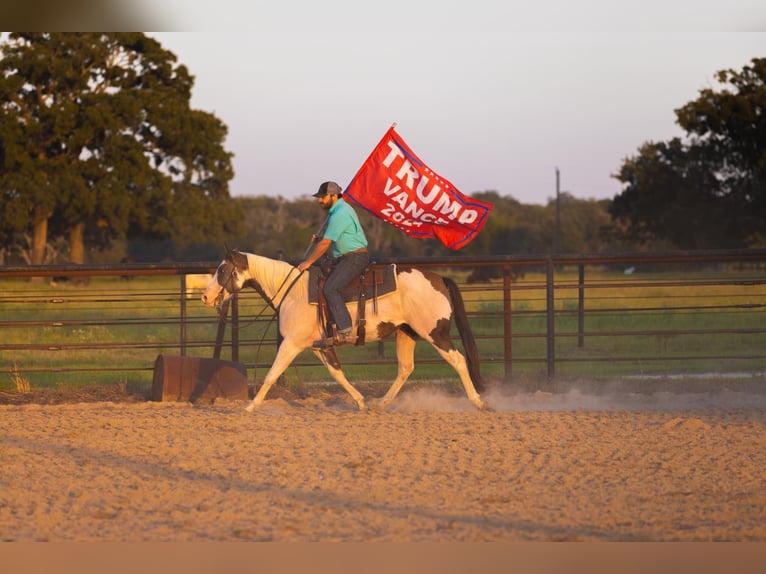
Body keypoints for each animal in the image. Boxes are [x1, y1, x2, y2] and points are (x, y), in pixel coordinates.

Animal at [201, 245, 487, 412]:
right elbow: (337, 373)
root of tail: (438, 278)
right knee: (405, 368)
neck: (293, 291)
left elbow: (272, 374)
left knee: (458, 360)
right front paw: (360, 402)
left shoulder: (291, 343)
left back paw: (478, 401)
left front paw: (250, 406)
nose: (204, 296)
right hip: (407, 333)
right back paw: (381, 403)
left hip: (435, 334)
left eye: (222, 269)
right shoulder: (318, 346)